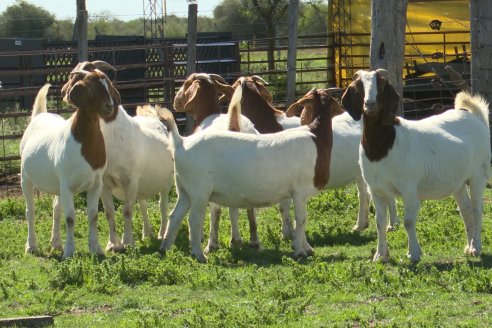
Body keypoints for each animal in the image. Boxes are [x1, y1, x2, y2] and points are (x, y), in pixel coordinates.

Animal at [56, 61, 174, 251]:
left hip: (167, 181)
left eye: (107, 84)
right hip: (142, 185)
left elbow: (127, 211)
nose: (109, 106)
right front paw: (113, 244)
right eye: (88, 85)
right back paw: (146, 233)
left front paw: (127, 242)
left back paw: (161, 234)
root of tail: (156, 119)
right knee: (143, 205)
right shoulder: (104, 183)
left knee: (162, 206)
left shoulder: (130, 180)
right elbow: (110, 212)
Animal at [160, 84, 344, 262]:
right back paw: (199, 254)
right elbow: (301, 219)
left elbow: (302, 219)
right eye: (332, 99)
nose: (343, 110)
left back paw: (165, 249)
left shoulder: (299, 194)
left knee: (174, 216)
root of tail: (181, 142)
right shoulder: (300, 190)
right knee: (194, 219)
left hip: (184, 190)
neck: (316, 138)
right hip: (199, 191)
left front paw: (307, 248)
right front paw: (300, 250)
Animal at [340, 68, 490, 262]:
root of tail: (475, 117)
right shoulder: (376, 189)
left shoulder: (409, 187)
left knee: (477, 209)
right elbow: (380, 222)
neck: (383, 146)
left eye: (381, 84)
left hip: (478, 175)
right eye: (359, 86)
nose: (369, 104)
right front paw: (380, 255)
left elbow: (408, 221)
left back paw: (476, 248)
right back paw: (469, 246)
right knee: (466, 209)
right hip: (458, 182)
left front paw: (414, 253)